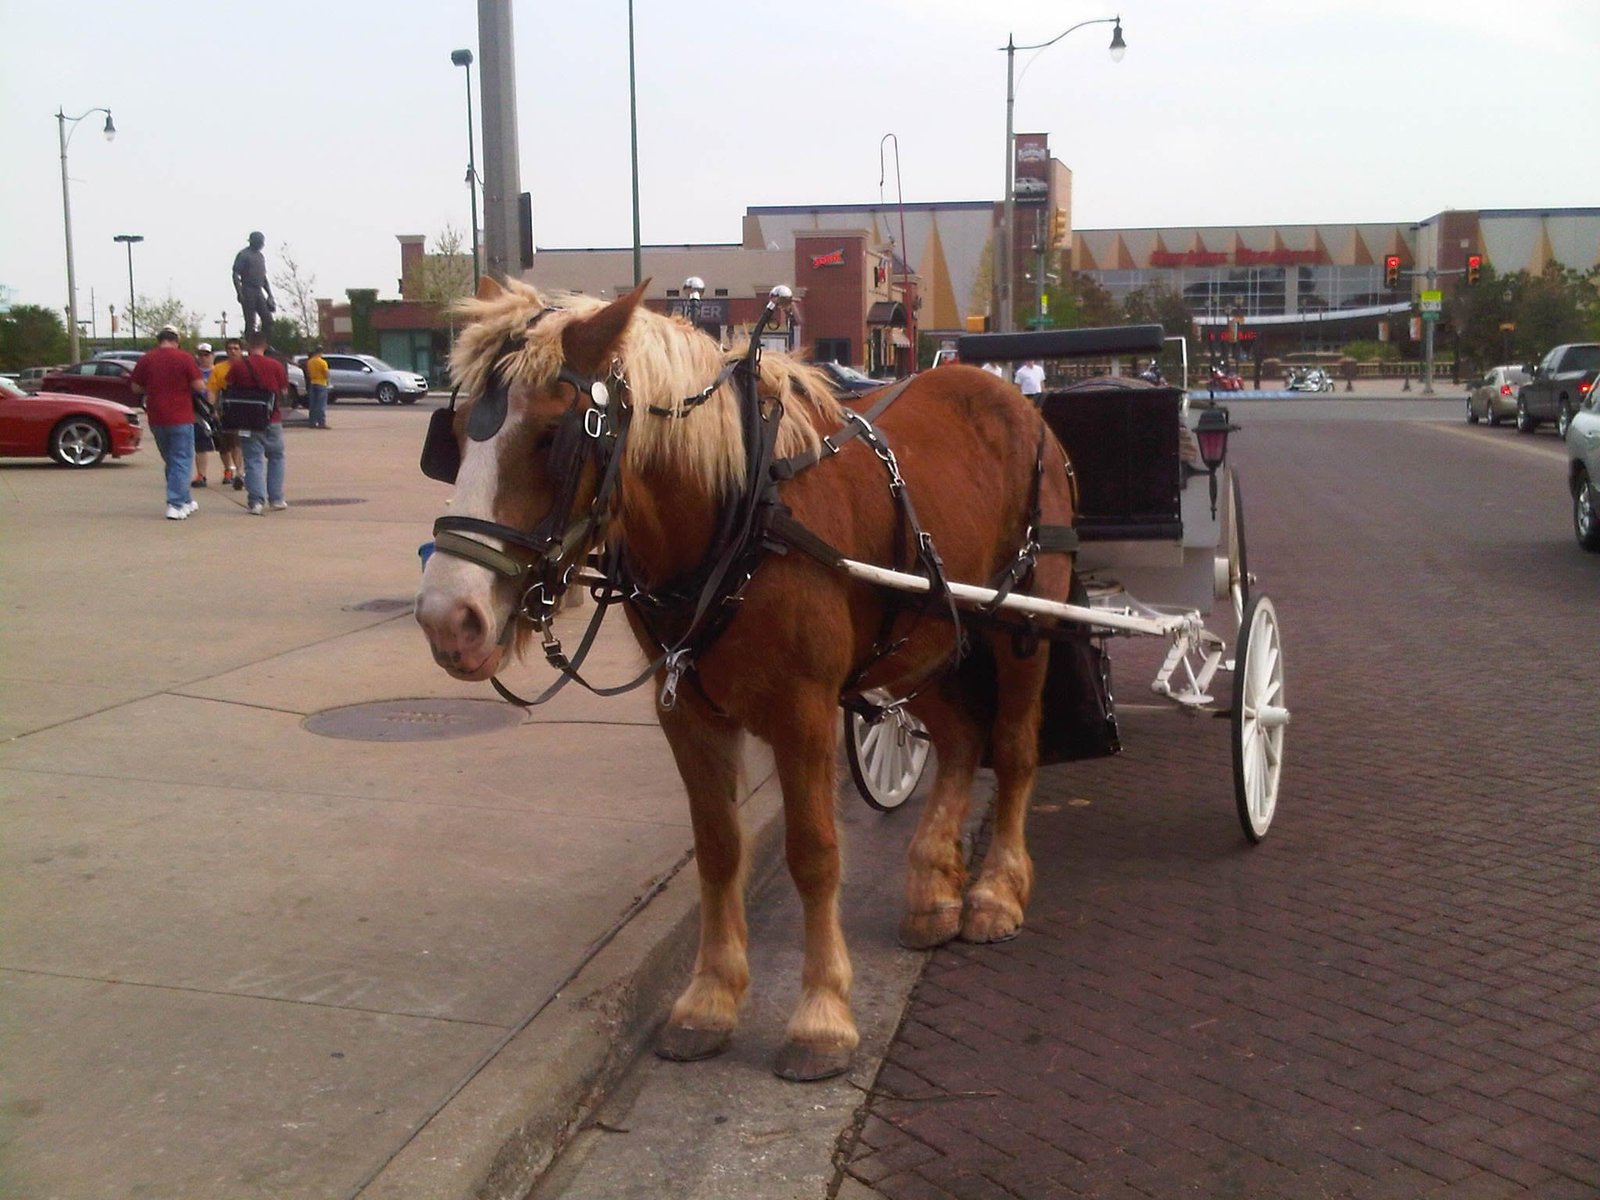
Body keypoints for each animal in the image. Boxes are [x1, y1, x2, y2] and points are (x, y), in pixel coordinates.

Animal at [415, 277, 1082, 1081]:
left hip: (1023, 623)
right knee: (960, 740)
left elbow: (814, 853)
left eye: (553, 436)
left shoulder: (805, 711)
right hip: (929, 638)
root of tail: (1010, 398)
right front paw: (709, 999)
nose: (448, 619)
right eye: (454, 435)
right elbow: (719, 848)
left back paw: (994, 893)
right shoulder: (687, 712)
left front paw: (822, 1016)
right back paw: (930, 890)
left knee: (1012, 748)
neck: (738, 513)